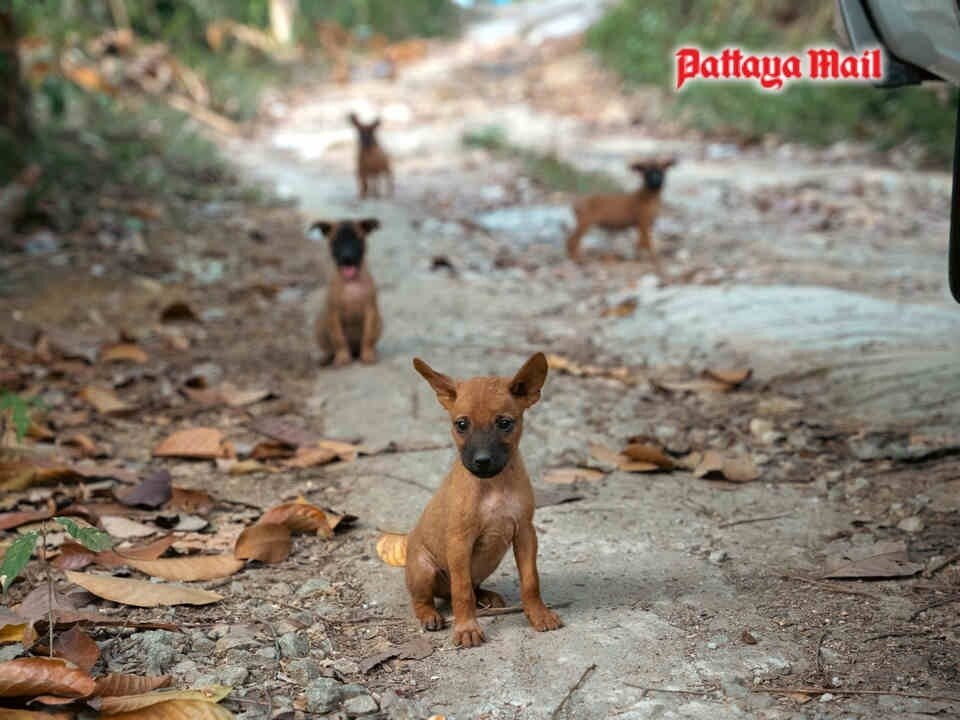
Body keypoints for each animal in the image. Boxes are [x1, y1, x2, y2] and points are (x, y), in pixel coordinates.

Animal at [376, 352, 564, 648]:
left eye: (504, 423)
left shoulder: (525, 534)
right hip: (423, 569)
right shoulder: (459, 543)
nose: (482, 461)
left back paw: (485, 596)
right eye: (461, 424)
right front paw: (466, 628)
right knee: (425, 599)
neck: (493, 485)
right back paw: (429, 615)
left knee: (469, 588)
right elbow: (462, 590)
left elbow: (530, 581)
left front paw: (538, 614)